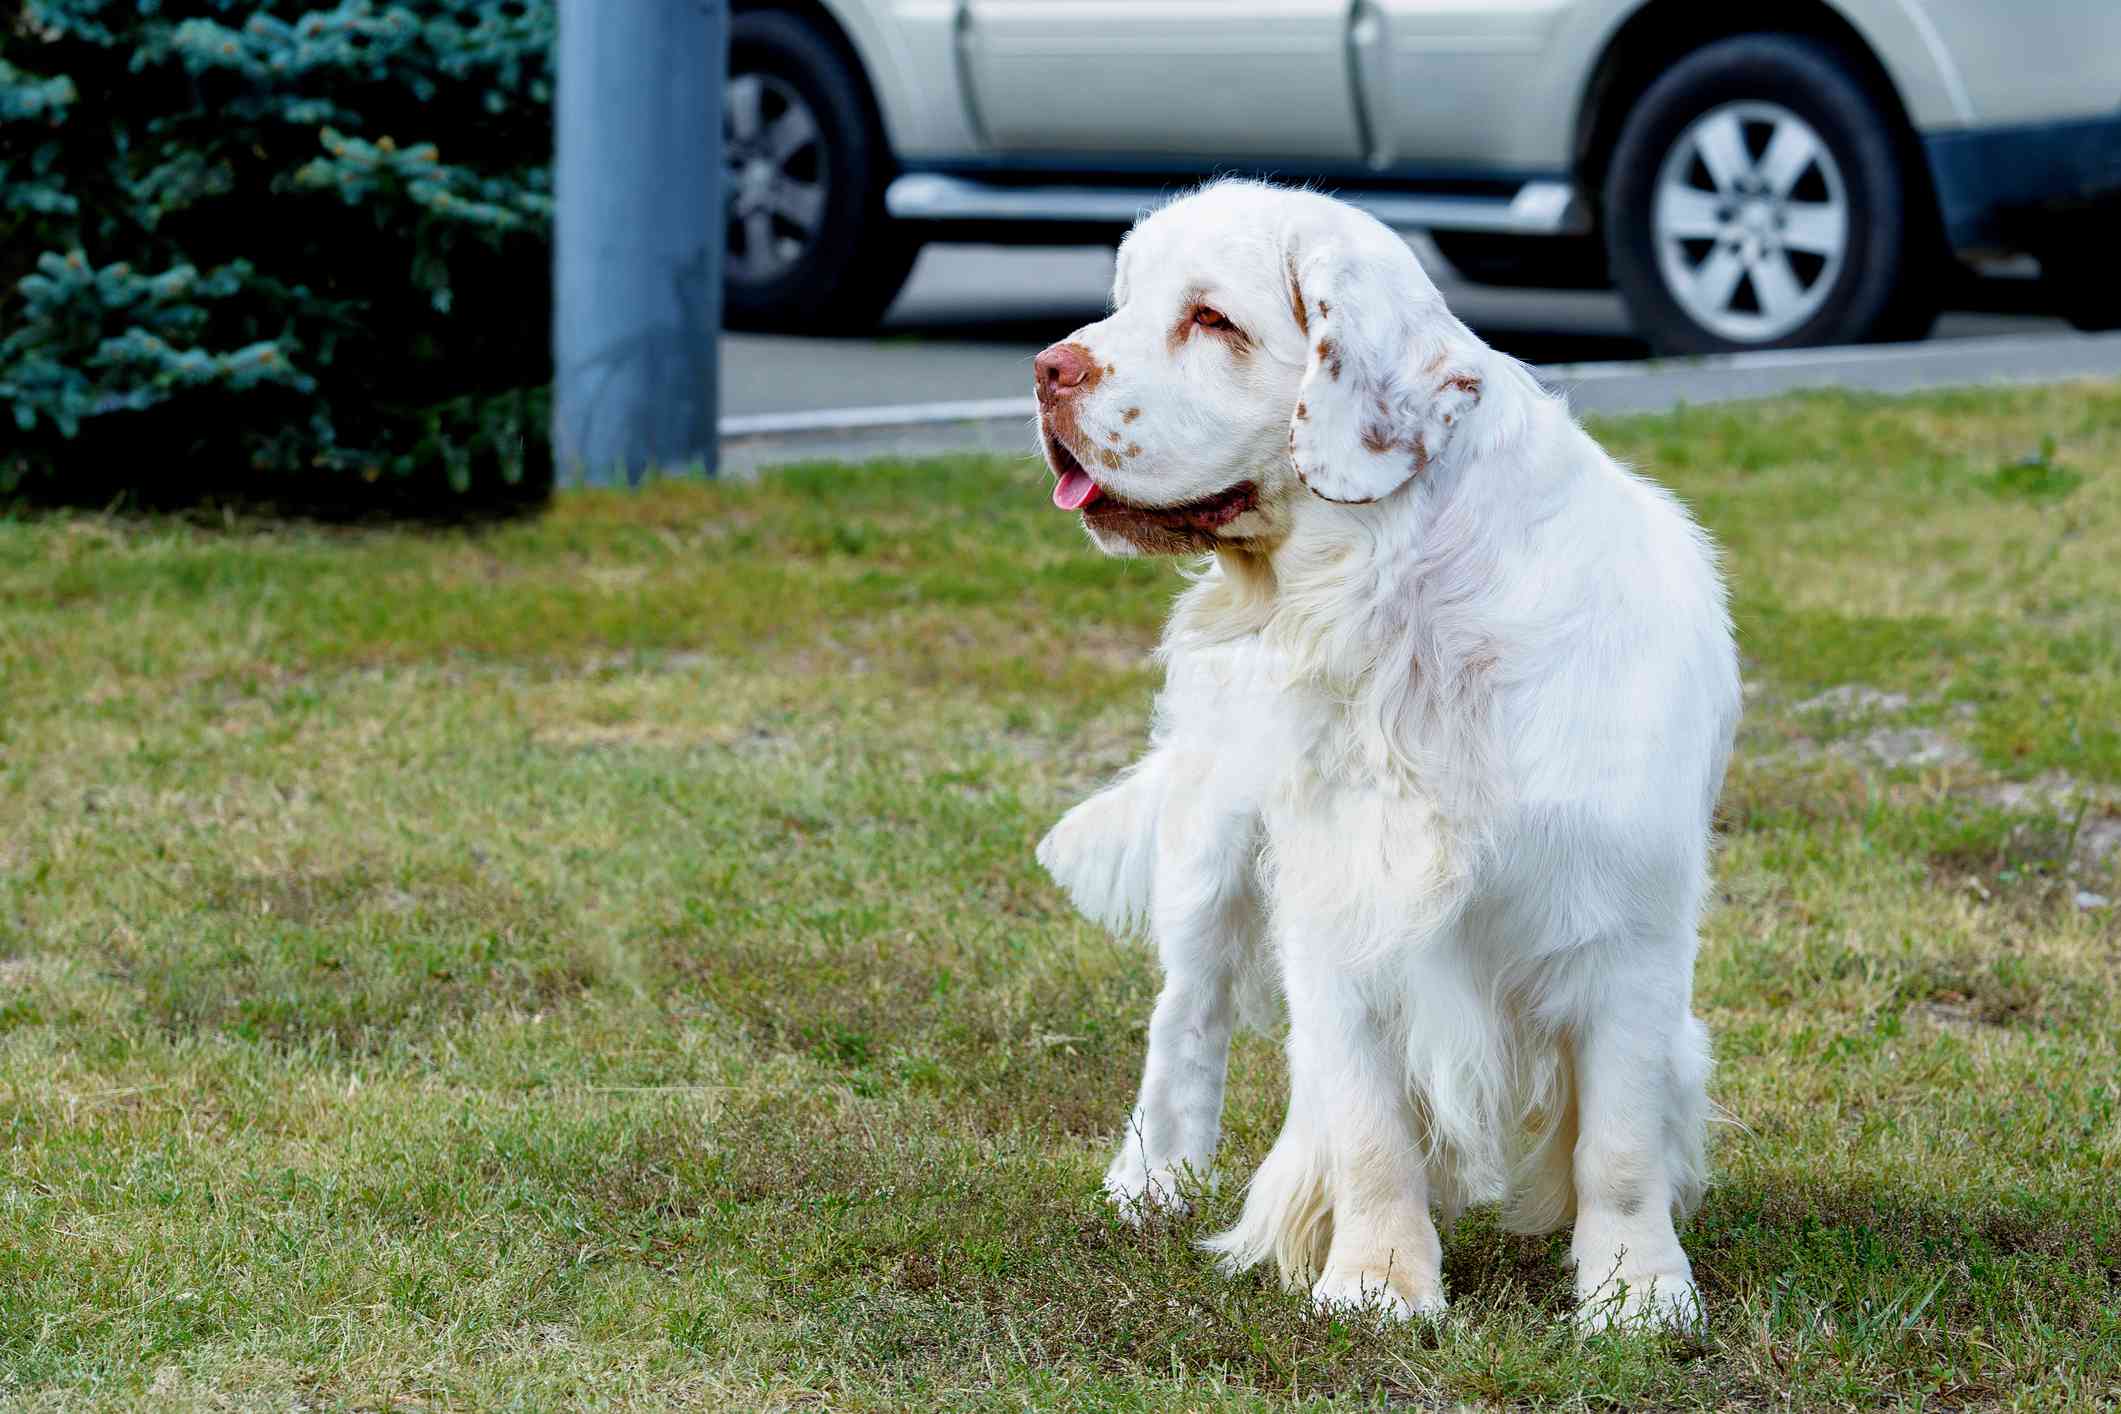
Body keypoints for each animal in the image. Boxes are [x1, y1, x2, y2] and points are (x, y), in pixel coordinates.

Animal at [1030, 182, 1739, 1331]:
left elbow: (1622, 1141)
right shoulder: (1341, 907)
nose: (1049, 368)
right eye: (1125, 301)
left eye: (1211, 320)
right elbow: (1368, 1128)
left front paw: (1637, 1293)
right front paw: (1376, 1281)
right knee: (1186, 1014)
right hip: (1212, 846)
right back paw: (1152, 1181)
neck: (1406, 620)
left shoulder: (1626, 927)